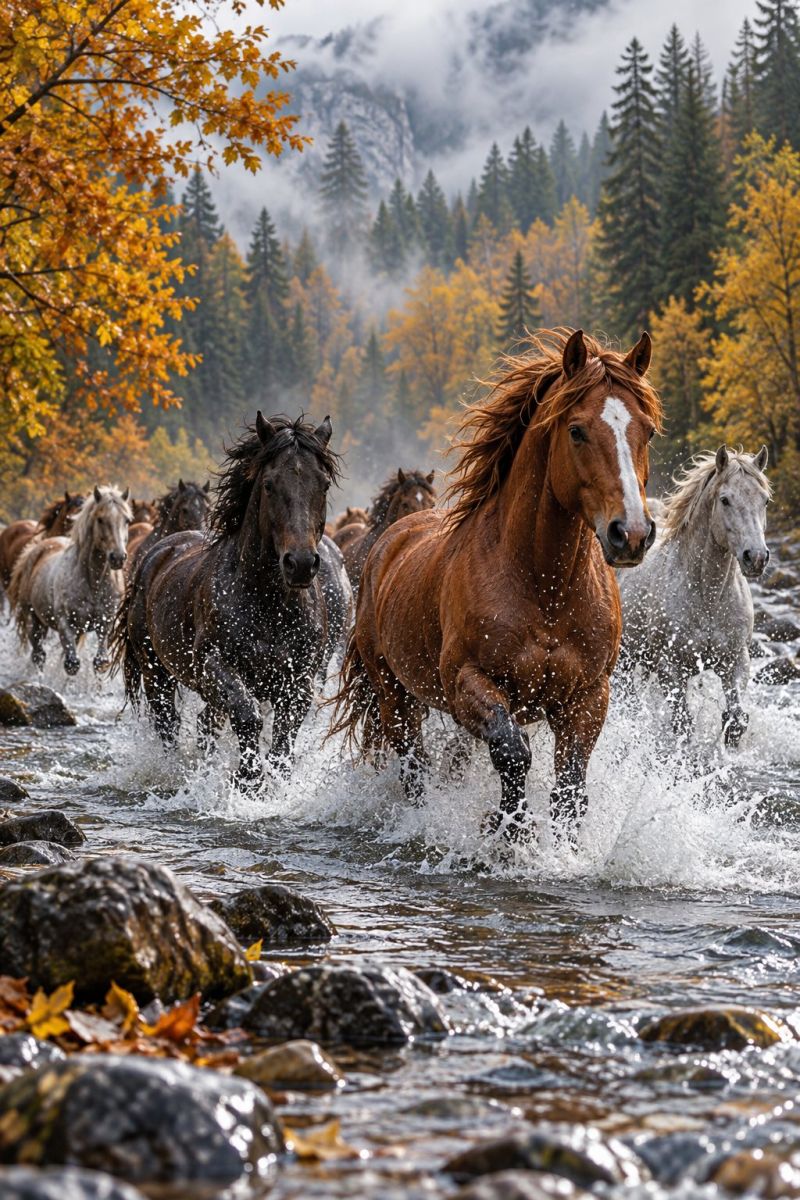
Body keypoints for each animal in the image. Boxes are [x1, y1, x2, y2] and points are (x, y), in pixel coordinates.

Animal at [9, 486, 131, 674]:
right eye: (100, 519)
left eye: (127, 520)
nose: (118, 558)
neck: (94, 583)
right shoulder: (64, 622)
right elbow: (72, 664)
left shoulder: (105, 622)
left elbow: (100, 662)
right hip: (33, 618)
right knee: (38, 654)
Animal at [112, 414, 344, 787]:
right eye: (269, 485)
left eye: (322, 485)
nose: (301, 563)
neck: (269, 604)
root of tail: (155, 555)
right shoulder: (214, 665)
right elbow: (247, 715)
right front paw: (248, 780)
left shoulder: (300, 681)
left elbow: (283, 739)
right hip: (156, 671)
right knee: (168, 723)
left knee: (205, 724)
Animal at [331, 328, 662, 845]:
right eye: (577, 430)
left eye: (646, 430)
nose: (630, 533)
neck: (545, 588)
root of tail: (387, 542)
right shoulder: (469, 682)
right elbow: (512, 751)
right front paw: (511, 831)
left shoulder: (588, 696)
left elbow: (570, 786)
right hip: (394, 695)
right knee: (413, 764)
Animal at [619, 446, 770, 747]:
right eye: (725, 500)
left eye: (765, 500)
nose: (756, 557)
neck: (708, 598)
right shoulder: (670, 668)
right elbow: (683, 725)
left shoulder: (735, 661)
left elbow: (736, 720)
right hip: (623, 661)